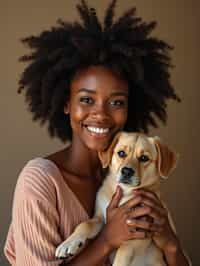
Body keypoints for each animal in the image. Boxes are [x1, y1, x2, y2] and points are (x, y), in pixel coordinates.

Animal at [55, 132, 178, 264]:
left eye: (144, 158)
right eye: (121, 153)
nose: (127, 171)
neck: (125, 193)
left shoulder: (139, 233)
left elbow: (123, 252)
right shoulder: (101, 218)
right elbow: (85, 224)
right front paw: (68, 244)